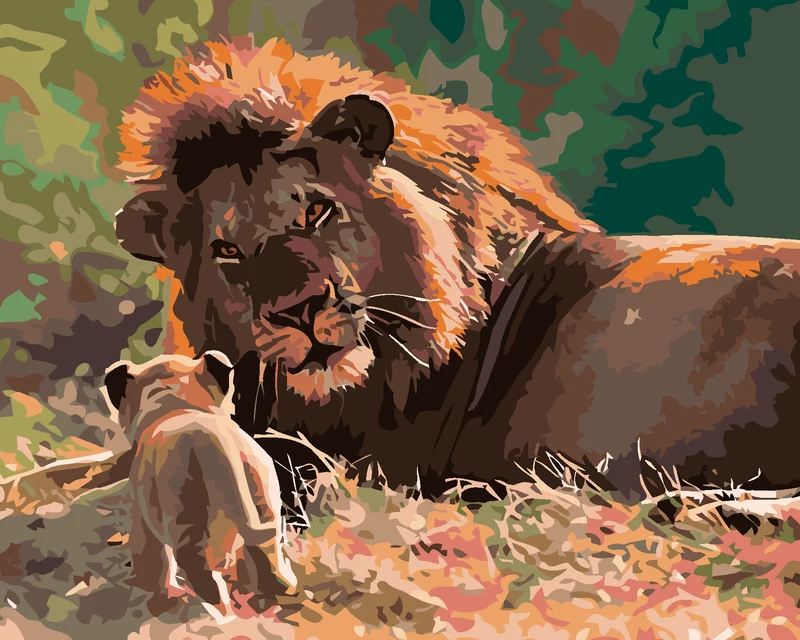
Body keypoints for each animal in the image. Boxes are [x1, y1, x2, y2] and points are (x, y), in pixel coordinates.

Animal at [103, 351, 296, 618]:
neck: (177, 404)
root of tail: (215, 442)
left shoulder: (142, 512)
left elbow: (149, 556)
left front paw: (143, 586)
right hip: (263, 494)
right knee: (266, 552)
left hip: (184, 509)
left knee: (199, 569)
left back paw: (217, 613)